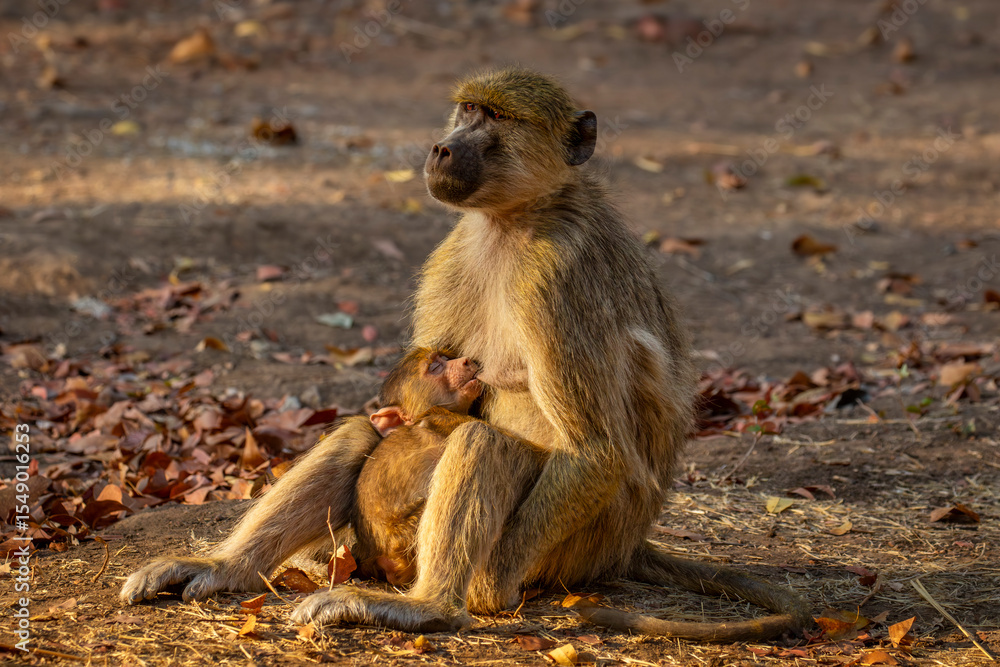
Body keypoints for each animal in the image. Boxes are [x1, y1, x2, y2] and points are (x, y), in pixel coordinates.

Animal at [121, 67, 811, 642]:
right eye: (466, 109)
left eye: (495, 119)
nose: (442, 147)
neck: (516, 220)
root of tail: (628, 544)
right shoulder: (455, 252)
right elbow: (396, 415)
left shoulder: (554, 278)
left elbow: (593, 449)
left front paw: (483, 591)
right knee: (361, 432)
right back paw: (222, 567)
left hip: (579, 544)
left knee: (486, 445)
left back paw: (429, 605)